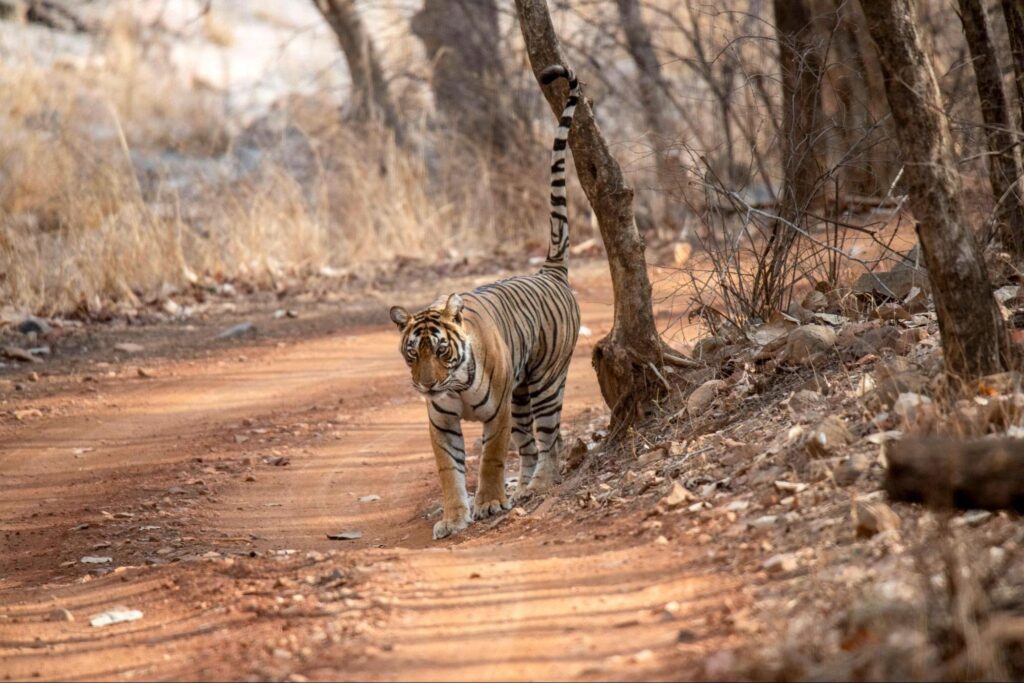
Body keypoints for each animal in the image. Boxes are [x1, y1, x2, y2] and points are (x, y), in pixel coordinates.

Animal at [388, 65, 582, 540]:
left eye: (441, 351)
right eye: (412, 354)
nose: (426, 385)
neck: (453, 384)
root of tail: (549, 271)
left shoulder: (496, 415)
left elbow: (492, 458)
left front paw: (491, 502)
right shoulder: (440, 421)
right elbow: (449, 470)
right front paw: (454, 517)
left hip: (545, 383)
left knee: (551, 438)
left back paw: (541, 485)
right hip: (522, 395)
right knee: (530, 445)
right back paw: (527, 486)